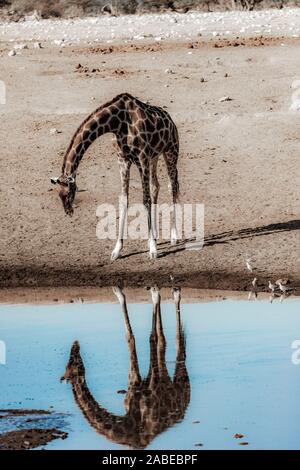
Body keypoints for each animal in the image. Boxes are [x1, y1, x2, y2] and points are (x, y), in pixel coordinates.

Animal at [50, 92, 179, 260]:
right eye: (59, 195)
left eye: (69, 192)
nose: (68, 211)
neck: (117, 122)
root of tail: (171, 121)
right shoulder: (123, 159)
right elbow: (124, 200)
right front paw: (117, 250)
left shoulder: (142, 156)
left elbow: (146, 200)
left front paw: (153, 250)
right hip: (154, 157)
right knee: (155, 186)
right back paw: (156, 236)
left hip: (170, 151)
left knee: (172, 186)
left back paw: (174, 236)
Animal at [60, 284, 190, 450]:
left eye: (72, 361)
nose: (75, 345)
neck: (128, 427)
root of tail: (186, 403)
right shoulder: (134, 384)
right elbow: (140, 338)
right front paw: (120, 292)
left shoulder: (145, 385)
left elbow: (136, 338)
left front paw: (120, 292)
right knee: (162, 341)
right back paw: (161, 293)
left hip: (181, 381)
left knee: (176, 344)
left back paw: (173, 294)